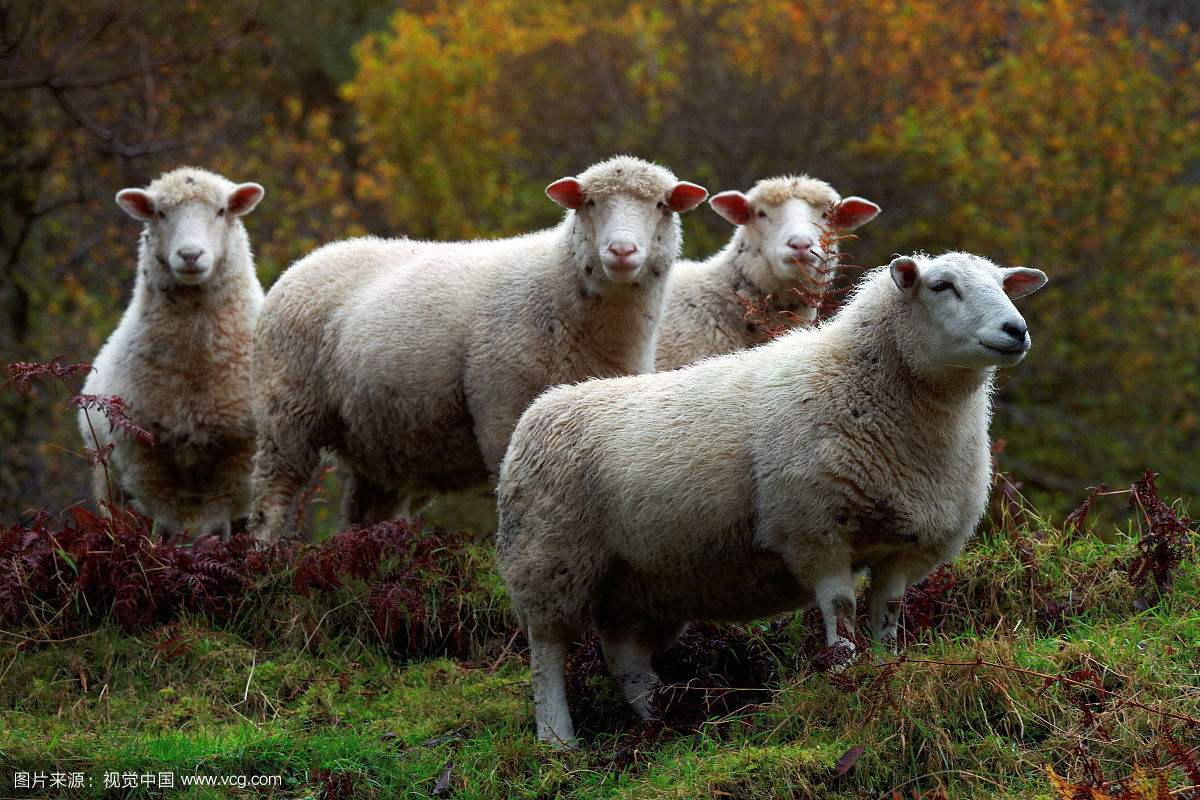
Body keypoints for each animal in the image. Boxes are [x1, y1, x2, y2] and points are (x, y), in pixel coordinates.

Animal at [80, 167, 267, 537]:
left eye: (221, 211)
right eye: (160, 213)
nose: (191, 255)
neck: (193, 365)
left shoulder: (239, 453)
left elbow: (216, 529)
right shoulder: (142, 455)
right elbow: (163, 528)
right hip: (108, 479)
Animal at [248, 155, 705, 544]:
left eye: (662, 205)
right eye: (589, 202)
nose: (622, 251)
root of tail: (309, 258)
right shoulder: (504, 414)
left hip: (377, 437)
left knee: (366, 510)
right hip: (288, 407)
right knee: (274, 491)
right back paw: (263, 554)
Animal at [492, 250, 1046, 743]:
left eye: (1004, 284)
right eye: (942, 286)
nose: (1016, 330)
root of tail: (539, 409)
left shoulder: (906, 547)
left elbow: (886, 615)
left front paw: (888, 668)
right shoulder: (815, 528)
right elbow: (841, 609)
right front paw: (846, 677)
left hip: (643, 582)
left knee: (624, 655)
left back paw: (661, 721)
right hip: (550, 558)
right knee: (546, 653)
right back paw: (558, 739)